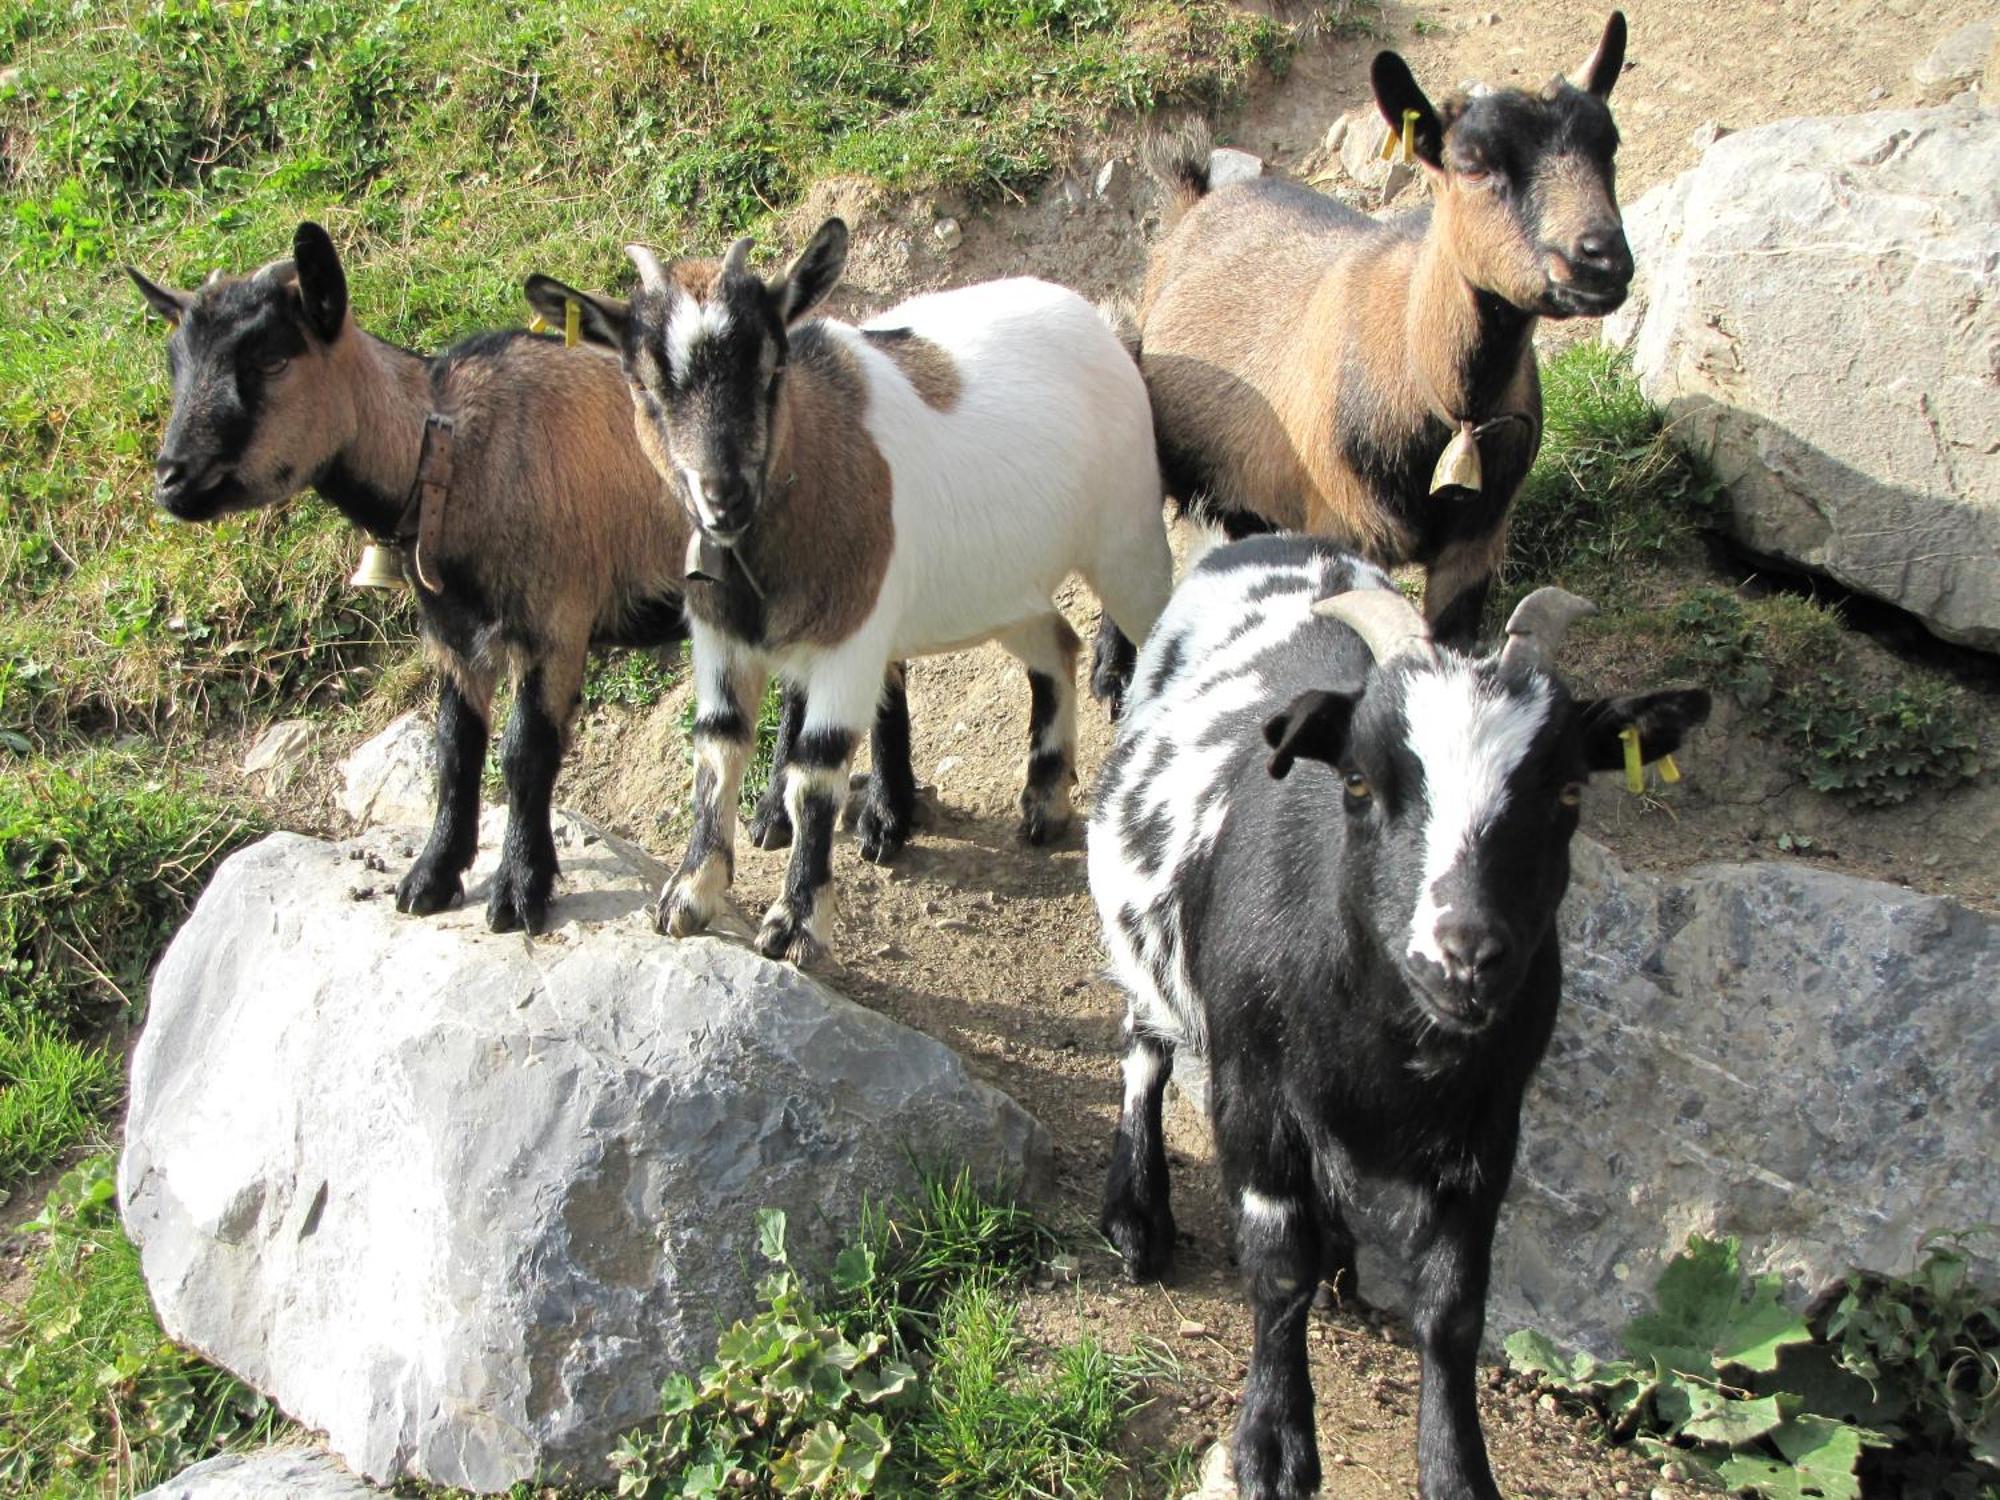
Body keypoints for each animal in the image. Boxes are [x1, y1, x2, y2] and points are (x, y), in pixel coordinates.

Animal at [127, 222, 908, 936]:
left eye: (268, 359)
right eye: (172, 362)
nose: (172, 480)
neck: (454, 455)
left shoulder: (554, 624)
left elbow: (525, 752)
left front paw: (518, 892)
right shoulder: (452, 637)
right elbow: (454, 750)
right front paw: (431, 877)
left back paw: (887, 818)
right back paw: (776, 813)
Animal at [1096, 13, 1640, 704]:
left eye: (1609, 144)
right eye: (1472, 164)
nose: (1601, 260)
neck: (1443, 405)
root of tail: (1193, 203)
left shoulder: (1475, 547)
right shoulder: (1342, 533)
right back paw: (1112, 672)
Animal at [1096, 540, 1704, 1500]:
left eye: (1570, 790)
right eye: (1358, 780)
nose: (1465, 954)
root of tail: (1275, 540)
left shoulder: (1488, 1126)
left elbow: (1454, 1306)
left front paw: (1457, 1470)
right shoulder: (1252, 1088)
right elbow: (1276, 1263)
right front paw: (1272, 1445)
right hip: (1147, 935)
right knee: (1144, 1048)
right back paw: (1136, 1212)